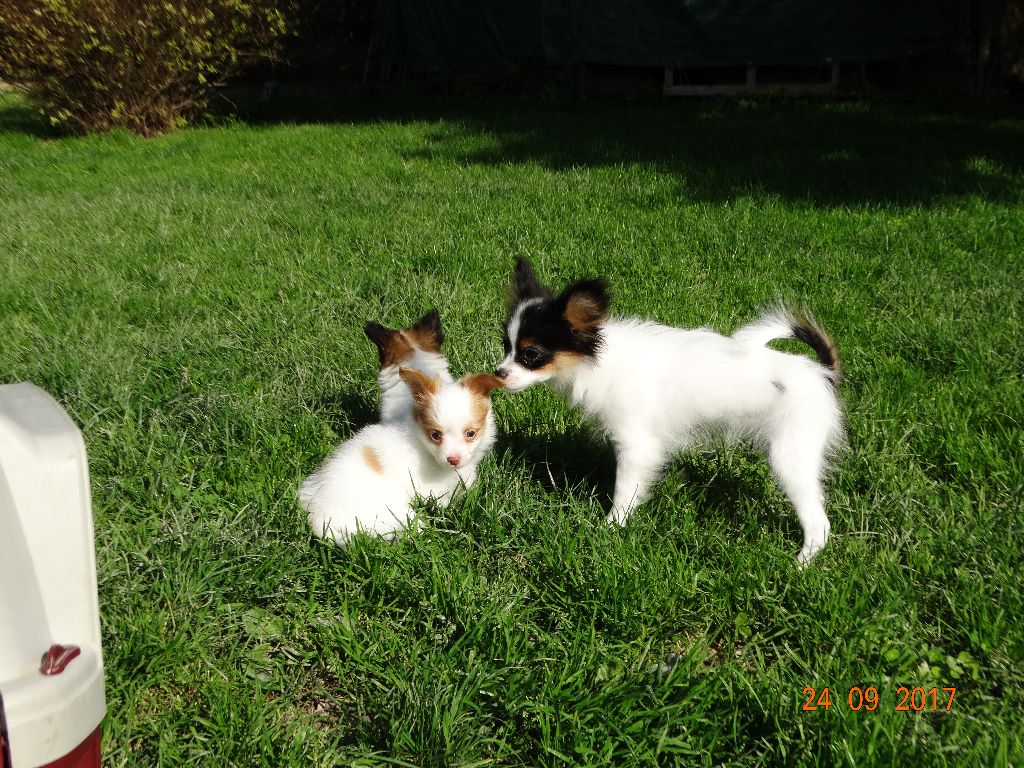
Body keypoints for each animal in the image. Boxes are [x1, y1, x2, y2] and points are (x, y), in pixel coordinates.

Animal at [495, 258, 843, 564]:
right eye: (506, 348)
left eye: (530, 354)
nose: (498, 373)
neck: (598, 361)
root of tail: (822, 372)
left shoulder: (636, 445)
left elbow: (624, 492)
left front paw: (611, 527)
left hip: (791, 455)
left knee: (819, 522)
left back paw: (801, 563)